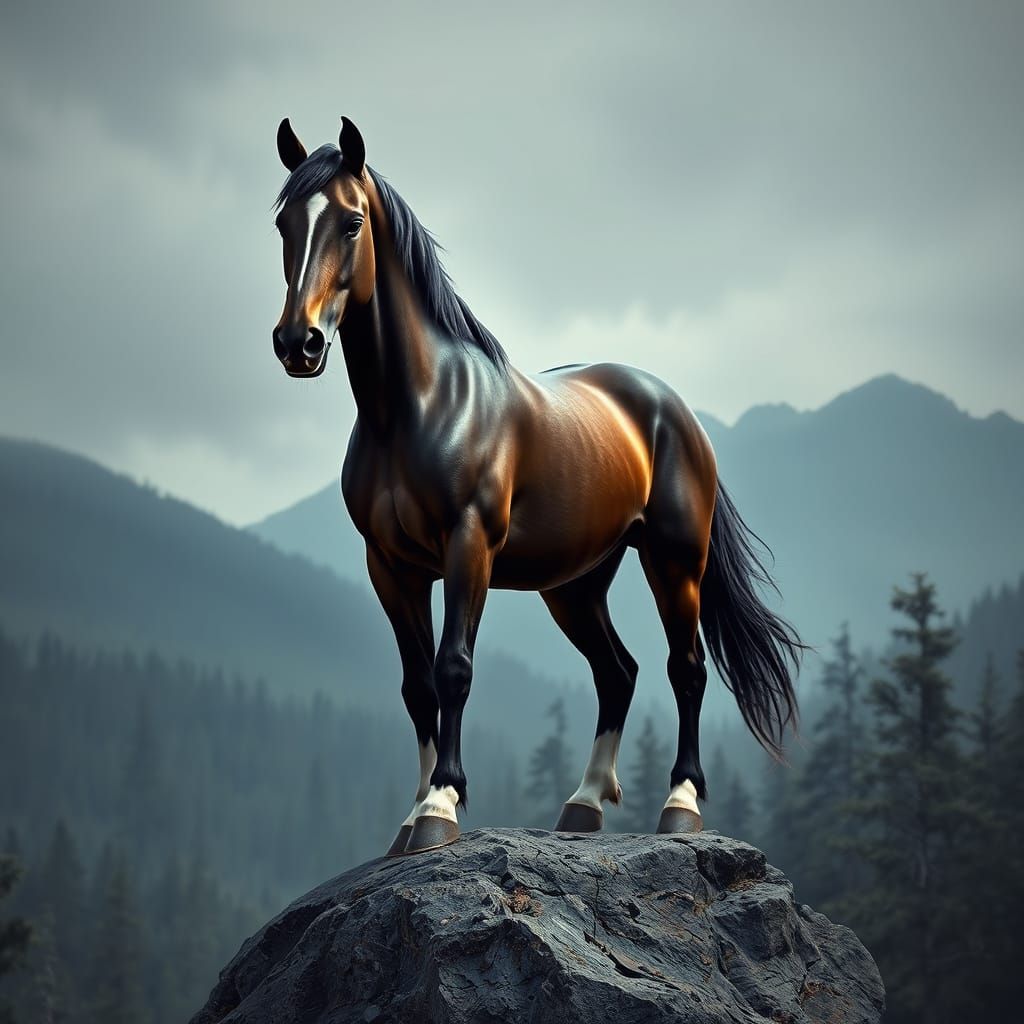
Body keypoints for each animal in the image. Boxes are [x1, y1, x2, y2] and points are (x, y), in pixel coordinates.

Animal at [271, 116, 803, 856]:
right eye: (284, 222)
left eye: (351, 223)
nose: (299, 342)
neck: (417, 409)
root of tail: (673, 408)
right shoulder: (391, 566)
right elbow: (416, 685)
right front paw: (411, 815)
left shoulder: (468, 546)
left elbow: (453, 667)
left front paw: (440, 805)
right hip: (575, 585)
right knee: (618, 672)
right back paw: (583, 804)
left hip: (674, 562)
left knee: (685, 668)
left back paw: (680, 804)